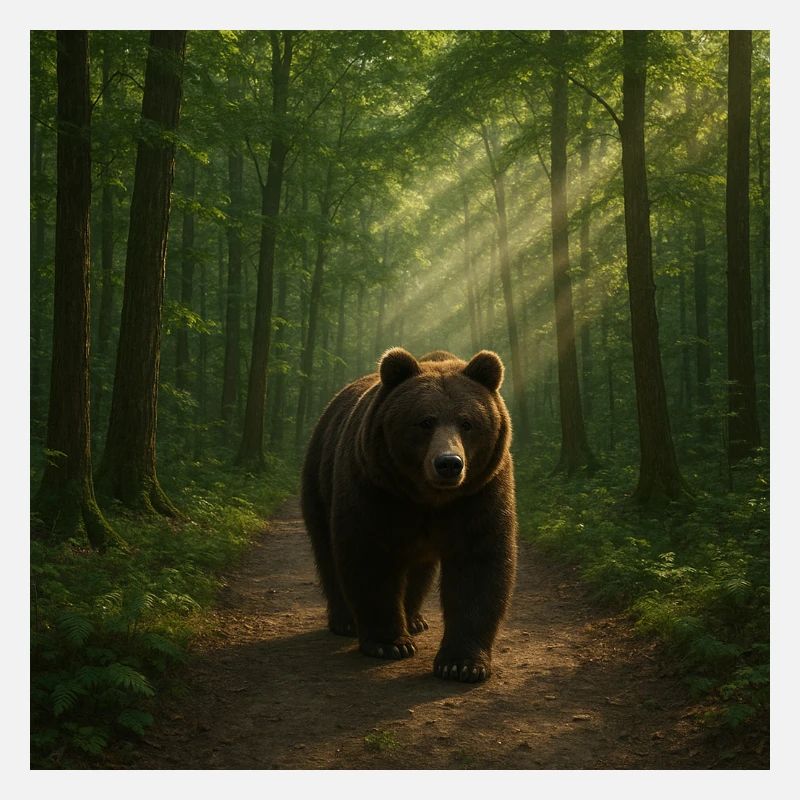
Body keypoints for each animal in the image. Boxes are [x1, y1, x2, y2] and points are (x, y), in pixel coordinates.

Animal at [301, 347, 517, 682]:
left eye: (467, 422)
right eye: (425, 421)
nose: (449, 463)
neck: (428, 497)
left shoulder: (479, 494)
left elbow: (478, 564)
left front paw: (462, 664)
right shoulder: (376, 488)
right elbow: (369, 557)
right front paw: (389, 643)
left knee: (419, 569)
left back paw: (414, 619)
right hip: (319, 480)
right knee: (327, 551)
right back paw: (345, 620)